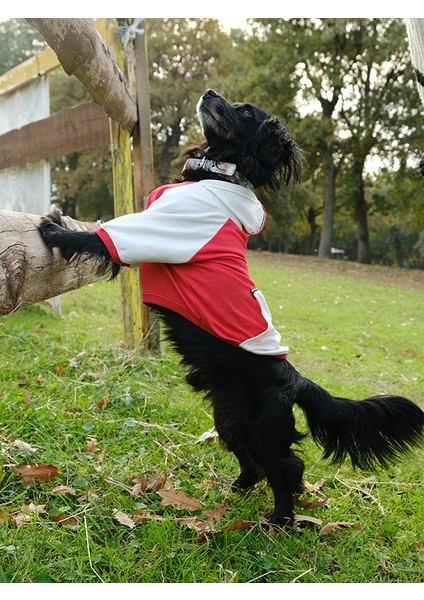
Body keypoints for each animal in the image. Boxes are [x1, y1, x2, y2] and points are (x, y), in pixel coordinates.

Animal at [39, 89, 420, 524]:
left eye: (245, 112)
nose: (208, 93)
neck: (217, 174)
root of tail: (296, 379)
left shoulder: (159, 228)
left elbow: (100, 236)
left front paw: (54, 228)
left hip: (259, 427)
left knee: (285, 467)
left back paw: (280, 519)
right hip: (229, 417)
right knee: (253, 463)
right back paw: (234, 490)